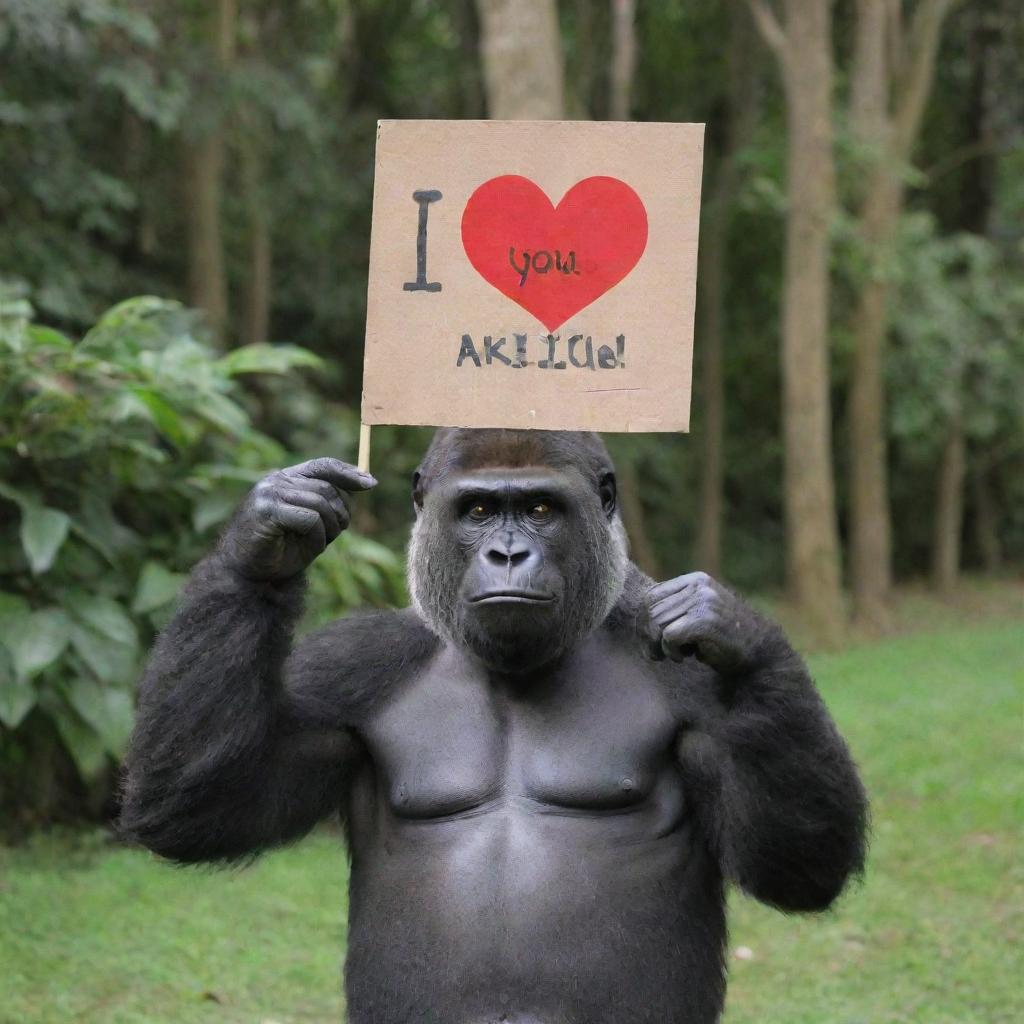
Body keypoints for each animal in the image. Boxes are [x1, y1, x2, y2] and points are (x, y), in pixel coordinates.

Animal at [119, 430, 864, 1024]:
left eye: (540, 509)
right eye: (478, 510)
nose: (508, 555)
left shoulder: (693, 687)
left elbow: (797, 863)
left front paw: (740, 638)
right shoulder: (347, 671)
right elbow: (206, 803)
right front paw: (267, 541)